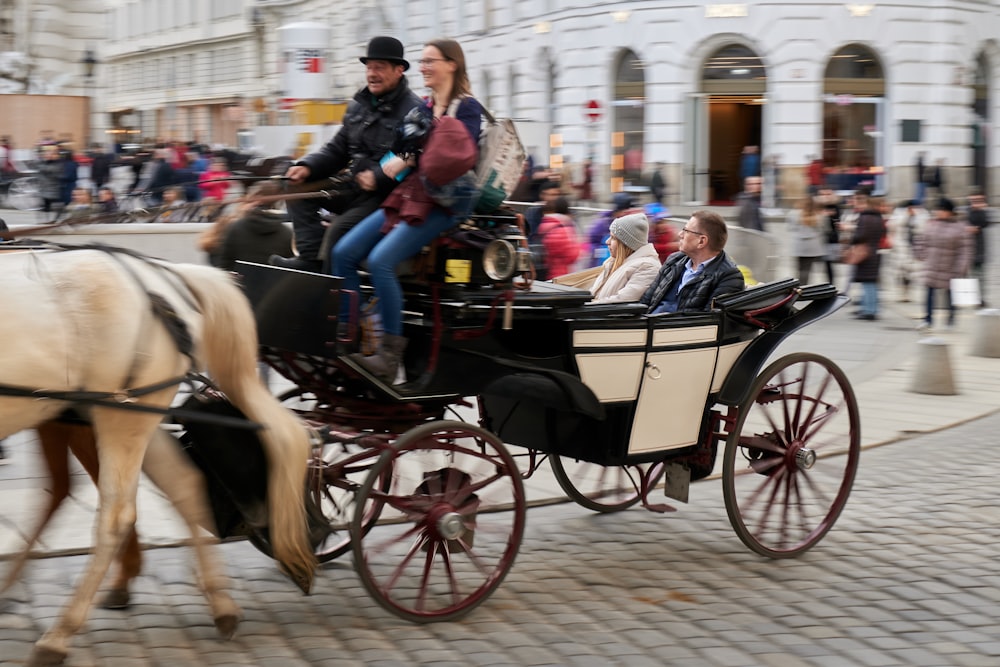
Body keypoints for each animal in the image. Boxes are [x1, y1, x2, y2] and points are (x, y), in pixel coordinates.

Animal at [0, 249, 316, 667]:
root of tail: (165, 274)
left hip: (121, 416)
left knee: (116, 515)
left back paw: (59, 635)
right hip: (126, 415)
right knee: (182, 483)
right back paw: (221, 606)